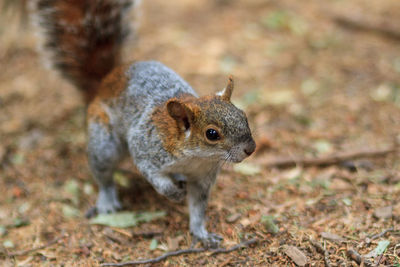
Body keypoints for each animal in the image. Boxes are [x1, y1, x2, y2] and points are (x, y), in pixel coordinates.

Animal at [35, 0, 256, 249]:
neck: (195, 159)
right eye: (212, 134)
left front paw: (202, 233)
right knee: (104, 175)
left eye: (243, 115)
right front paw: (174, 194)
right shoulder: (147, 149)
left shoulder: (203, 177)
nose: (251, 148)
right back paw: (108, 200)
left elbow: (198, 207)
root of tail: (105, 82)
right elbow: (155, 178)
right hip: (104, 142)